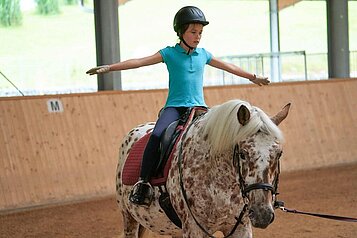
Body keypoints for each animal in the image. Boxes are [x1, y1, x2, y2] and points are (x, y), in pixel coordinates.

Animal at [115, 99, 290, 237]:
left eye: (279, 154)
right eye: (242, 153)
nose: (263, 214)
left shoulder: (241, 227)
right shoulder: (194, 229)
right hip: (128, 216)